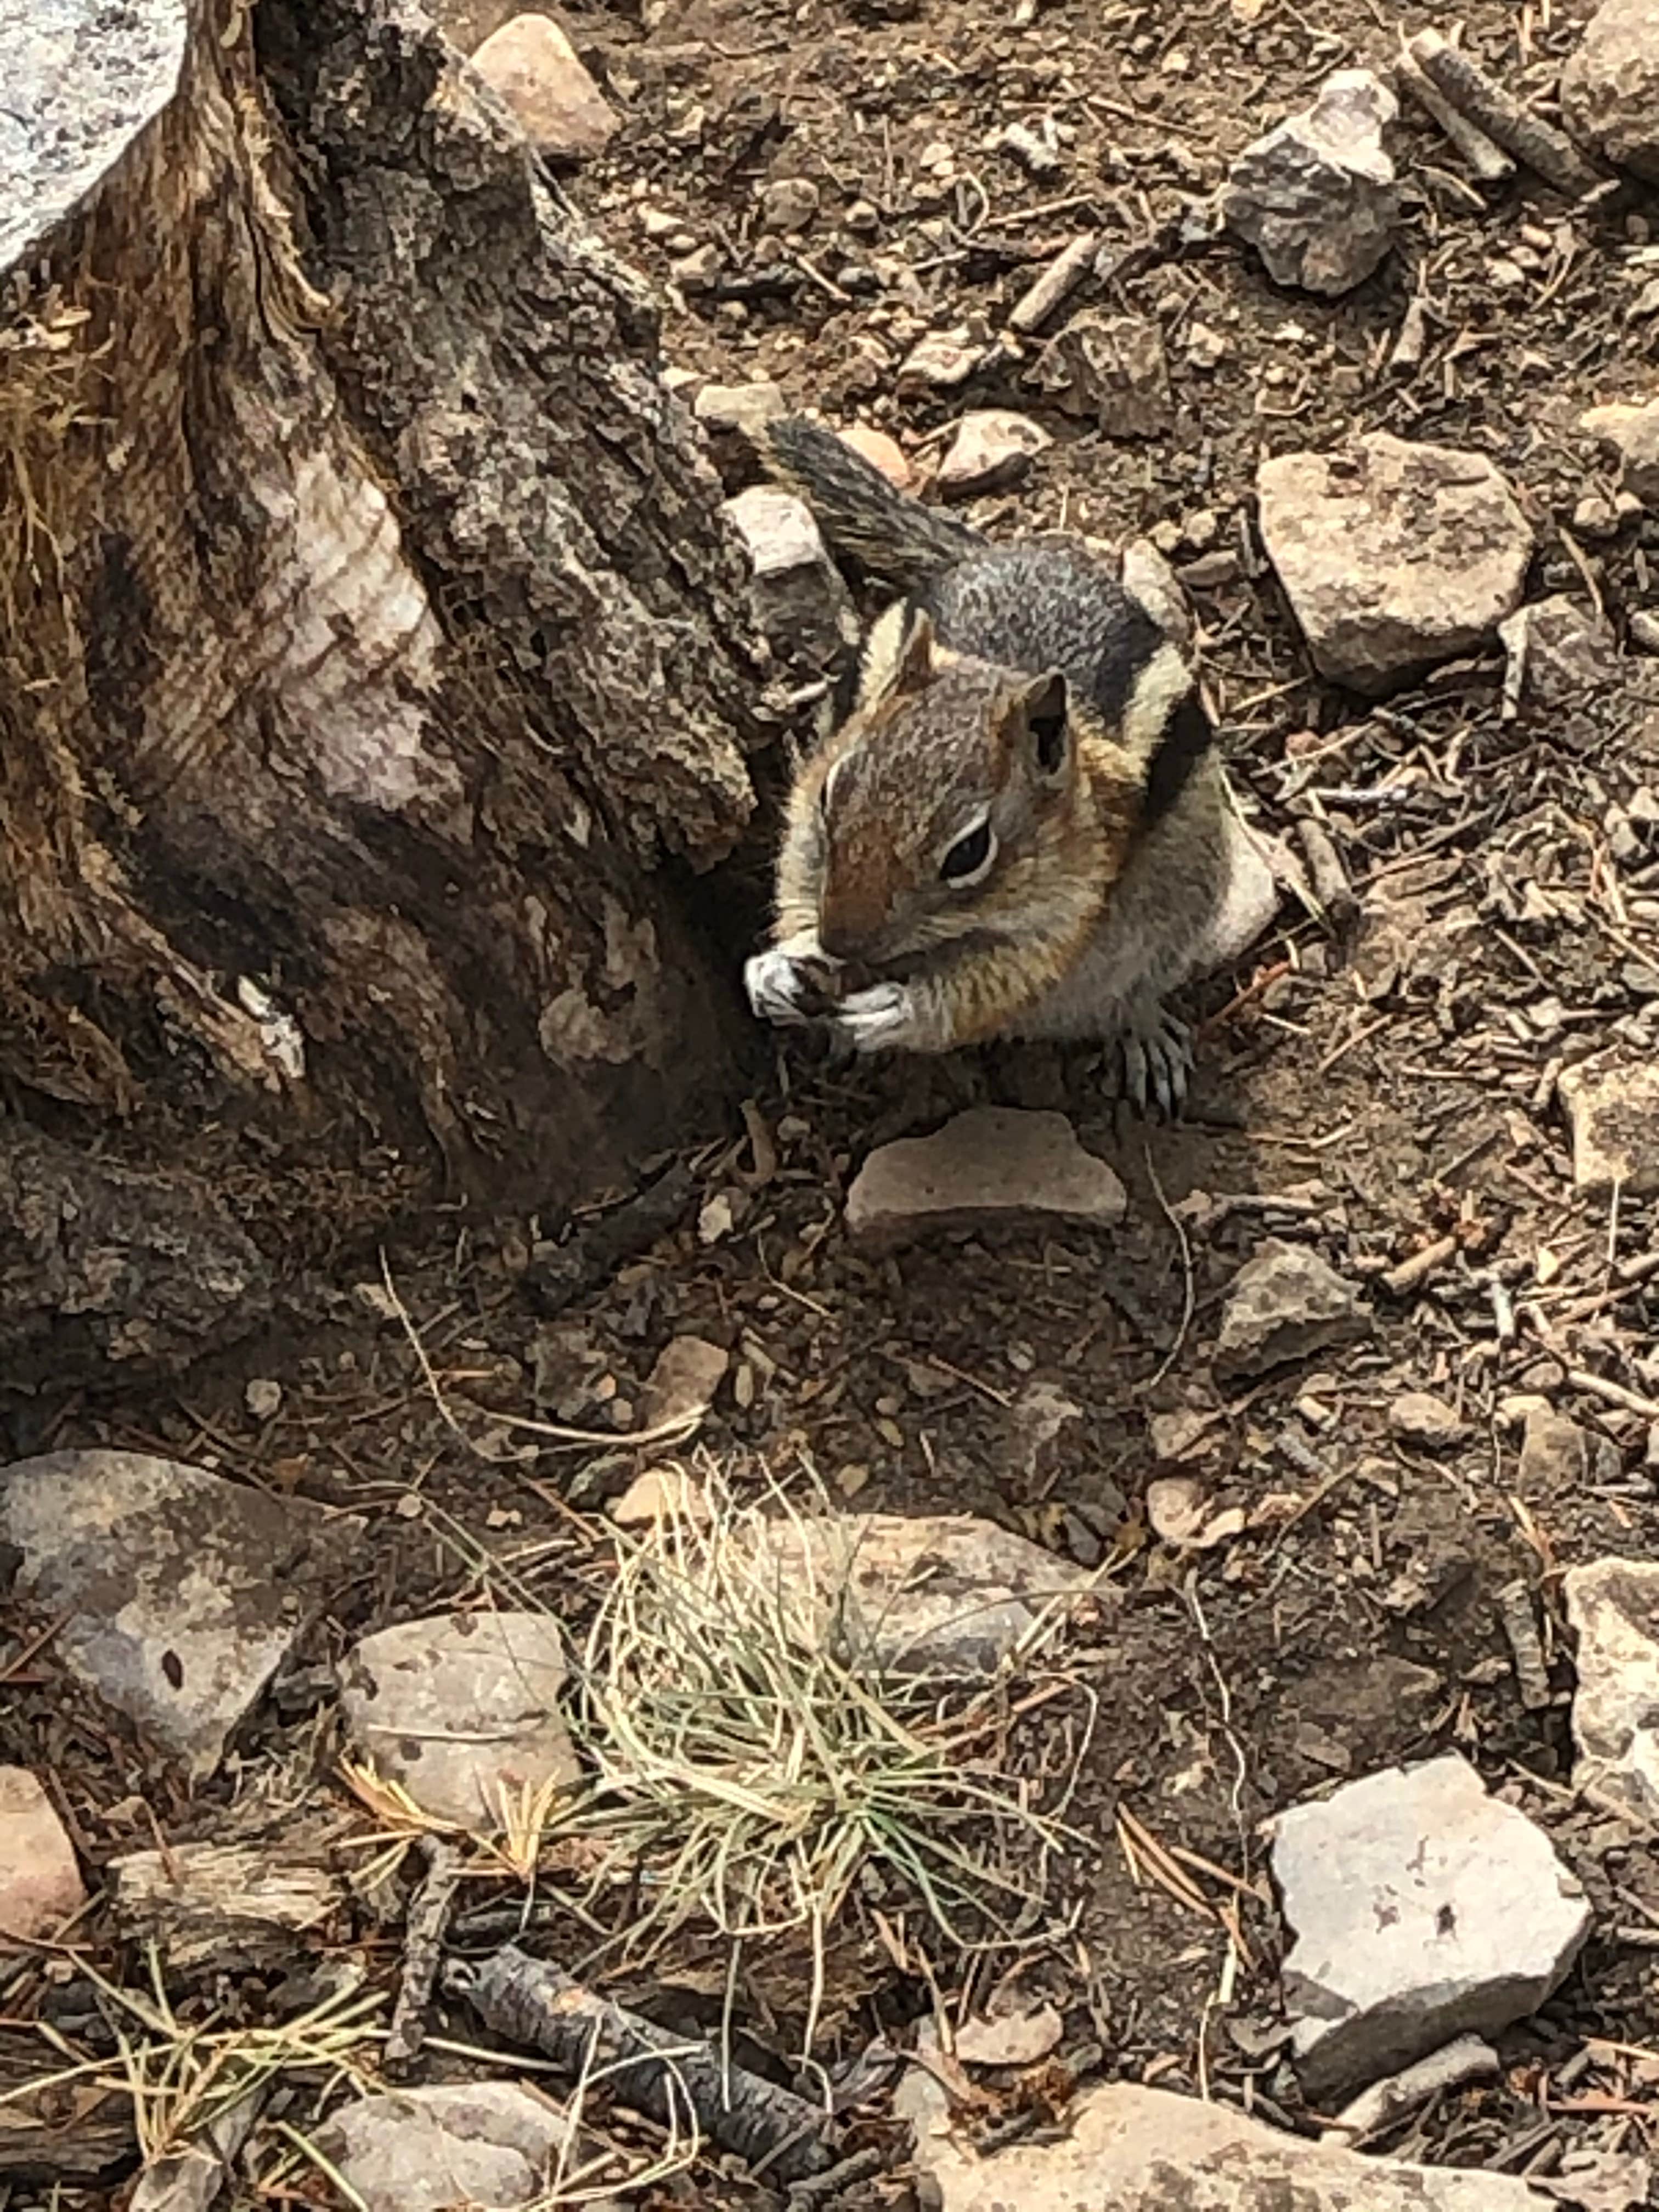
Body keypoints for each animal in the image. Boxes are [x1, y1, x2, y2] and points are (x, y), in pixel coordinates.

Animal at [747, 416, 1283, 1115]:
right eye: (830, 795)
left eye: (969, 853)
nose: (840, 944)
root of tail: (995, 553)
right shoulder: (808, 835)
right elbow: (797, 879)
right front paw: (779, 965)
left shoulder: (1068, 904)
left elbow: (1002, 981)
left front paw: (902, 1010)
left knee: (1133, 990)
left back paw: (1143, 1032)